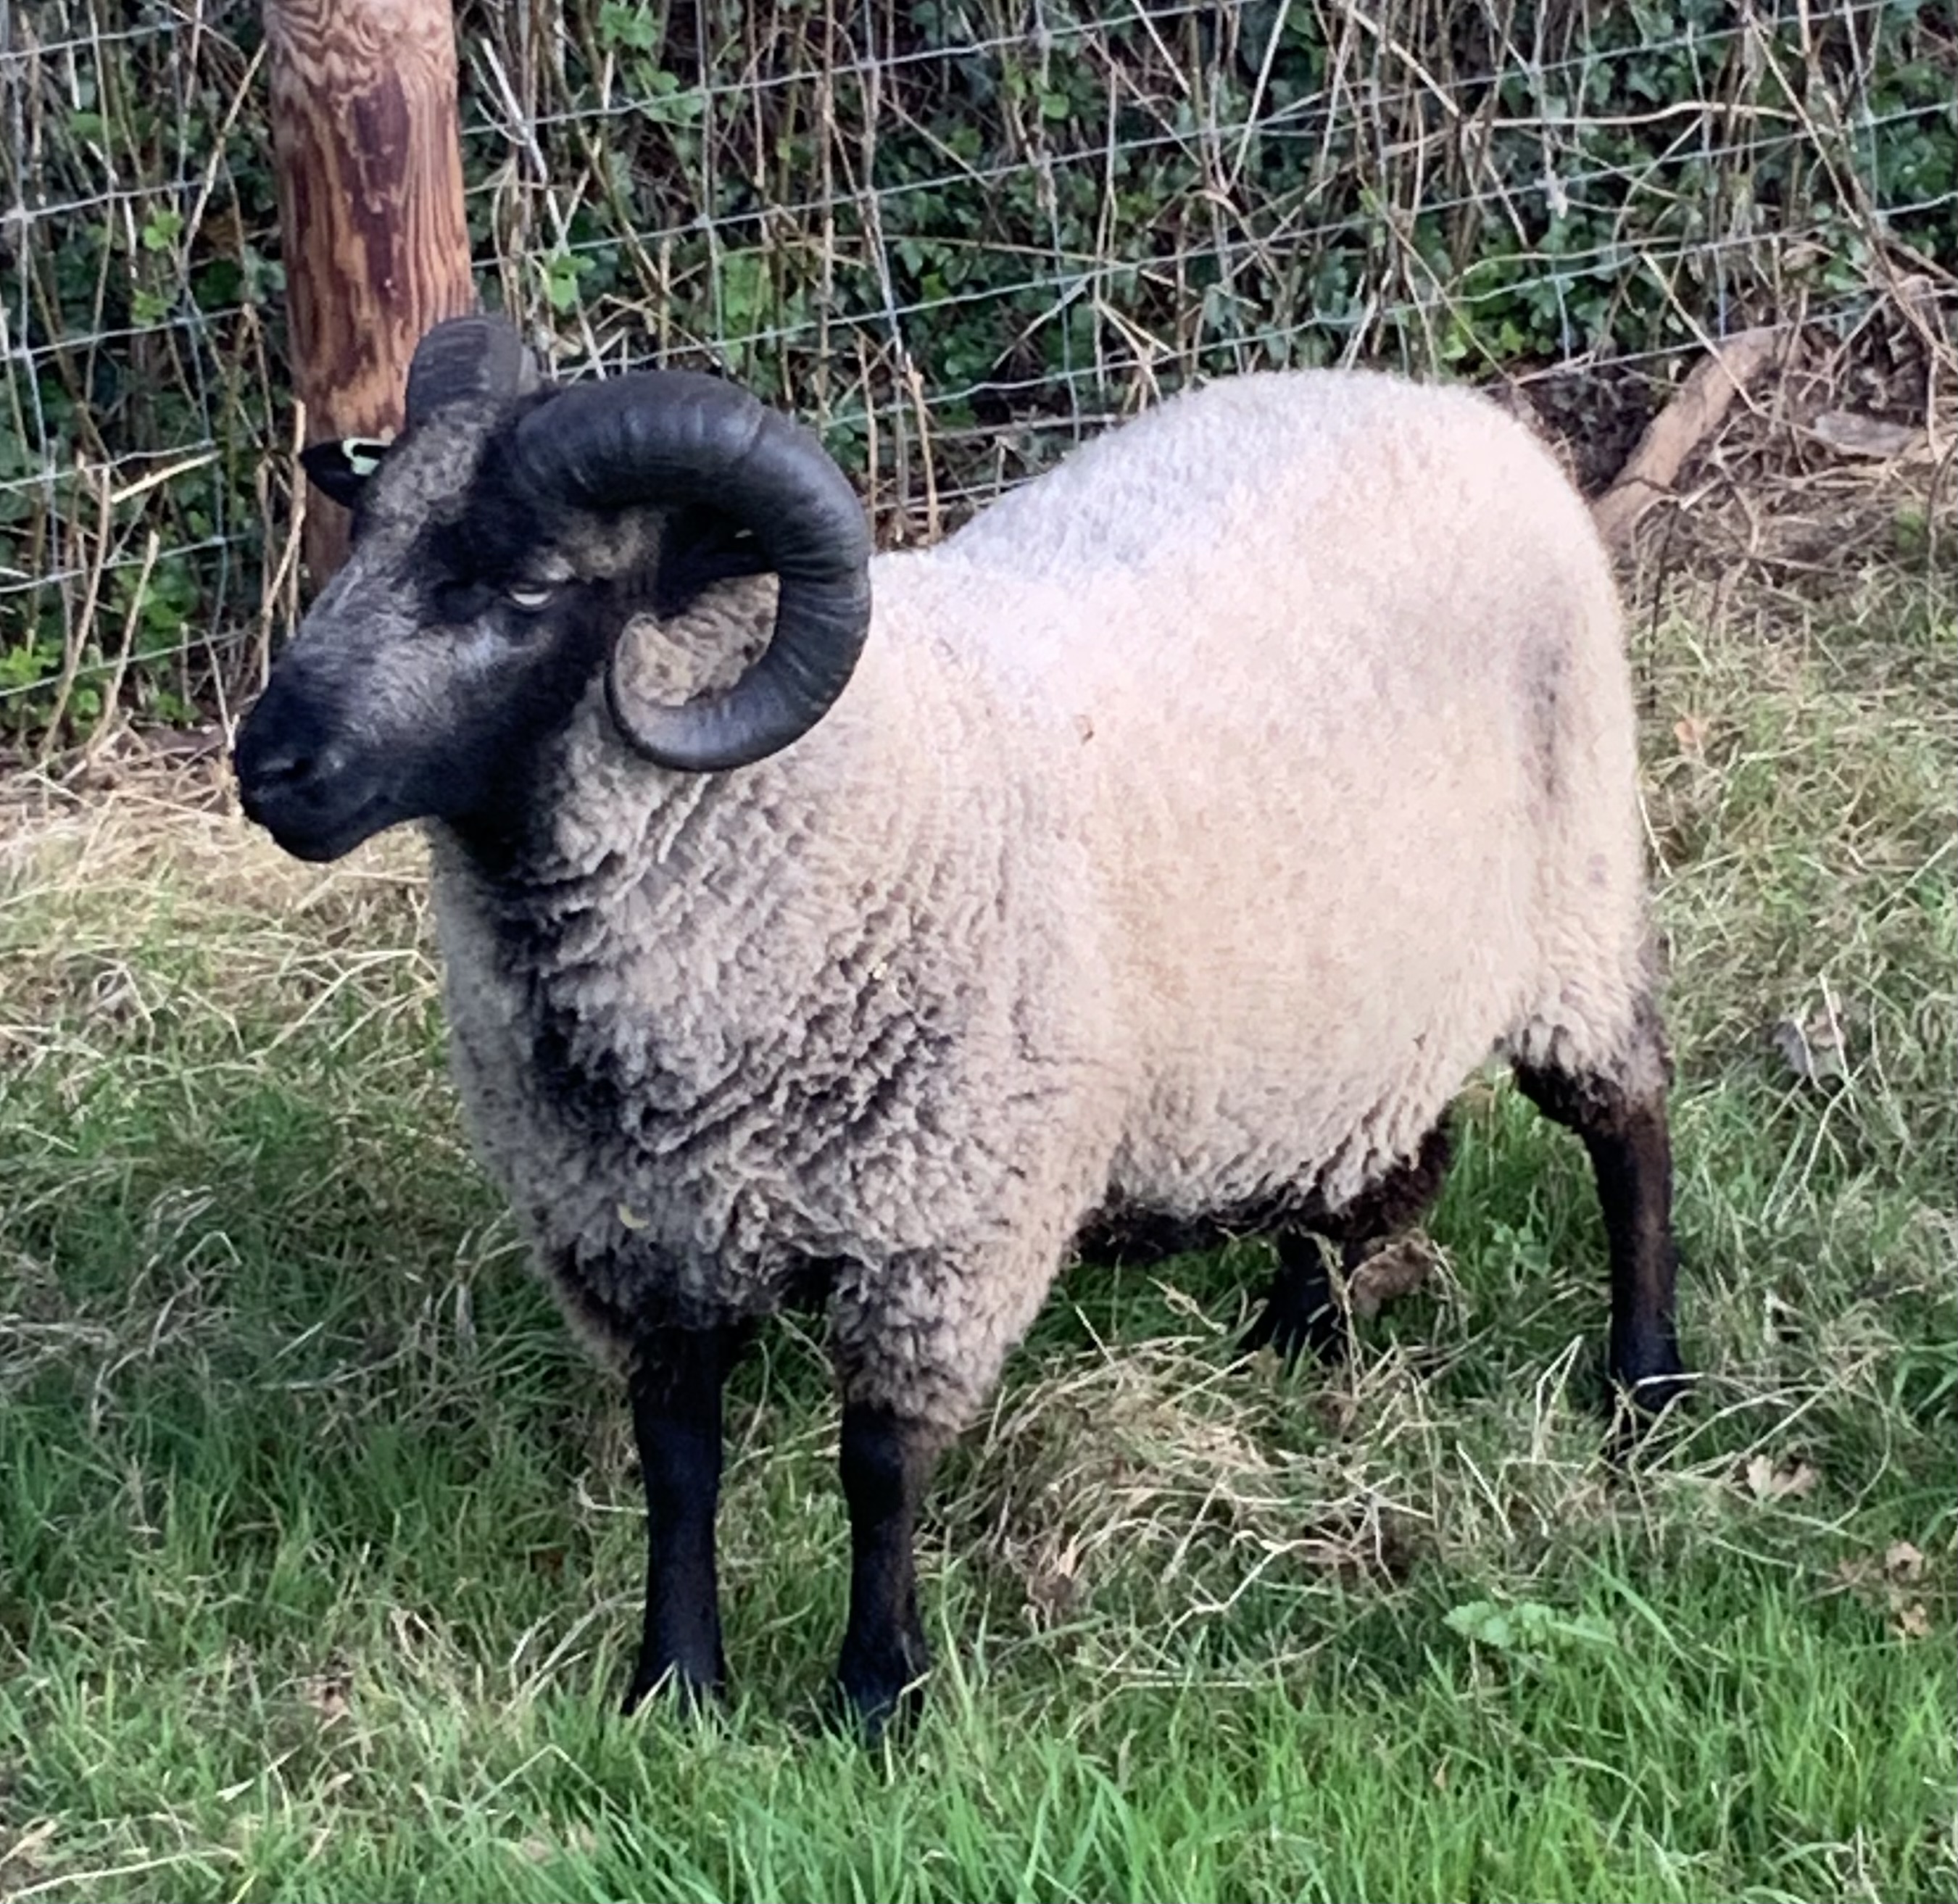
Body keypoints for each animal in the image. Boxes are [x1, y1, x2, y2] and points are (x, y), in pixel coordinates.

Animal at [234, 314, 1686, 1735]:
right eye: (366, 531)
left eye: (529, 587)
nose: (269, 767)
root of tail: (1441, 403)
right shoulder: (630, 1240)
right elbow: (680, 1464)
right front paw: (674, 1688)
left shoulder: (940, 1233)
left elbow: (878, 1470)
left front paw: (877, 1696)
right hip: (1362, 994)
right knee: (1393, 1154)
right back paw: (1300, 1336)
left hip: (1575, 907)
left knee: (1628, 1126)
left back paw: (1645, 1386)